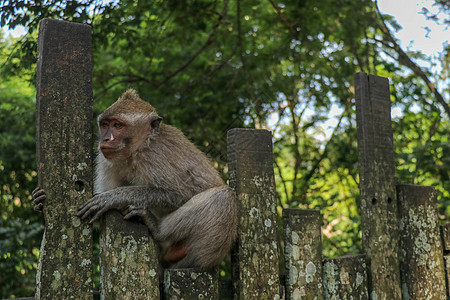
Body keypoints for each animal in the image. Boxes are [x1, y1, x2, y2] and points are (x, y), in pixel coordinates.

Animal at [32, 88, 239, 270]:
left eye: (118, 125)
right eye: (105, 125)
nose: (105, 139)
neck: (138, 149)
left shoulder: (154, 156)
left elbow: (180, 194)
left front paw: (112, 197)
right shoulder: (107, 160)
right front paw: (39, 201)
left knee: (223, 196)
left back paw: (159, 230)